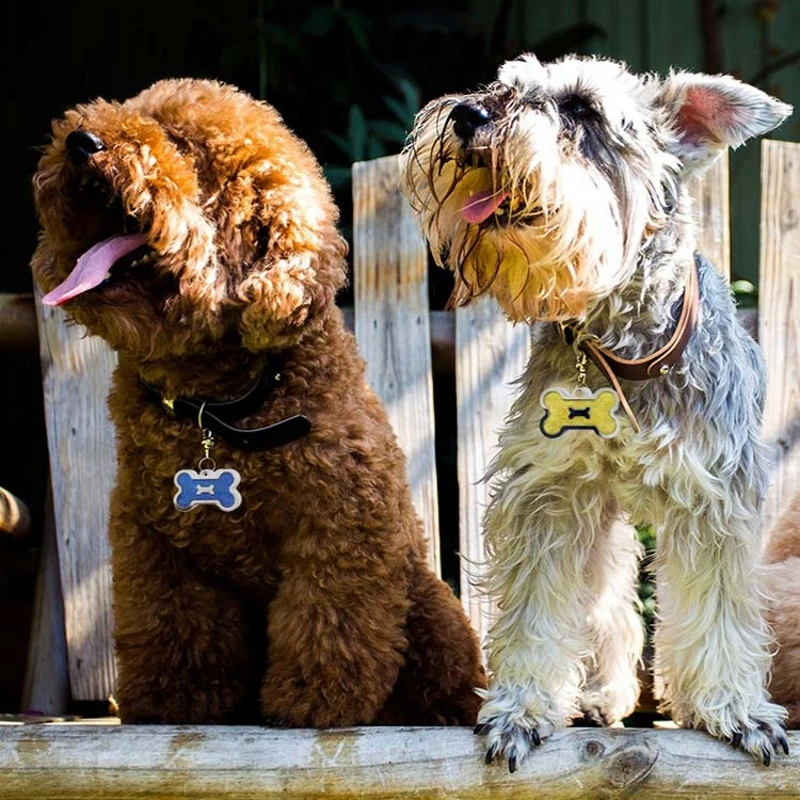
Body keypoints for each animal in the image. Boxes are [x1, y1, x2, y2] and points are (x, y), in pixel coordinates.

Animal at [31, 78, 484, 728]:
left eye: (183, 146)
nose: (80, 141)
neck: (214, 406)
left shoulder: (339, 532)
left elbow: (328, 622)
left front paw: (313, 701)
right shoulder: (154, 543)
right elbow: (175, 627)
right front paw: (176, 699)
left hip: (430, 606)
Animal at [404, 53, 792, 764]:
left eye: (583, 109)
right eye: (507, 84)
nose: (467, 114)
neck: (624, 342)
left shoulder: (712, 498)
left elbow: (718, 610)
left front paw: (734, 708)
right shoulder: (553, 491)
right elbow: (537, 608)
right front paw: (521, 707)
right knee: (607, 600)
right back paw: (598, 692)